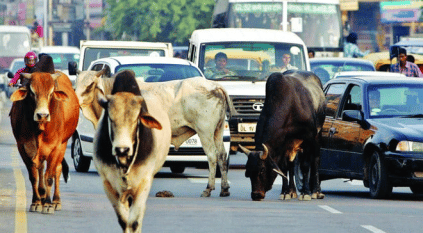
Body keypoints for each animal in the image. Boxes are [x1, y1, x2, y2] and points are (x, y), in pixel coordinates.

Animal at [9, 72, 79, 214]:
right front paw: (36, 202)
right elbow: (34, 176)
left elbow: (49, 177)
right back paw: (41, 196)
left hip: (63, 144)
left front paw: (48, 204)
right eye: (32, 92)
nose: (42, 115)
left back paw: (56, 201)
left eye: (51, 93)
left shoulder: (56, 148)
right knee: (40, 168)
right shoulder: (23, 147)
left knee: (57, 169)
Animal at [240, 70, 326, 201]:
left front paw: (306, 193)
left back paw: (316, 191)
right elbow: (284, 168)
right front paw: (285, 192)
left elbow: (305, 166)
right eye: (248, 171)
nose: (256, 195)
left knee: (315, 160)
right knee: (291, 165)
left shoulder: (308, 139)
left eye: (262, 169)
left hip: (317, 136)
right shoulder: (283, 146)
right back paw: (292, 191)